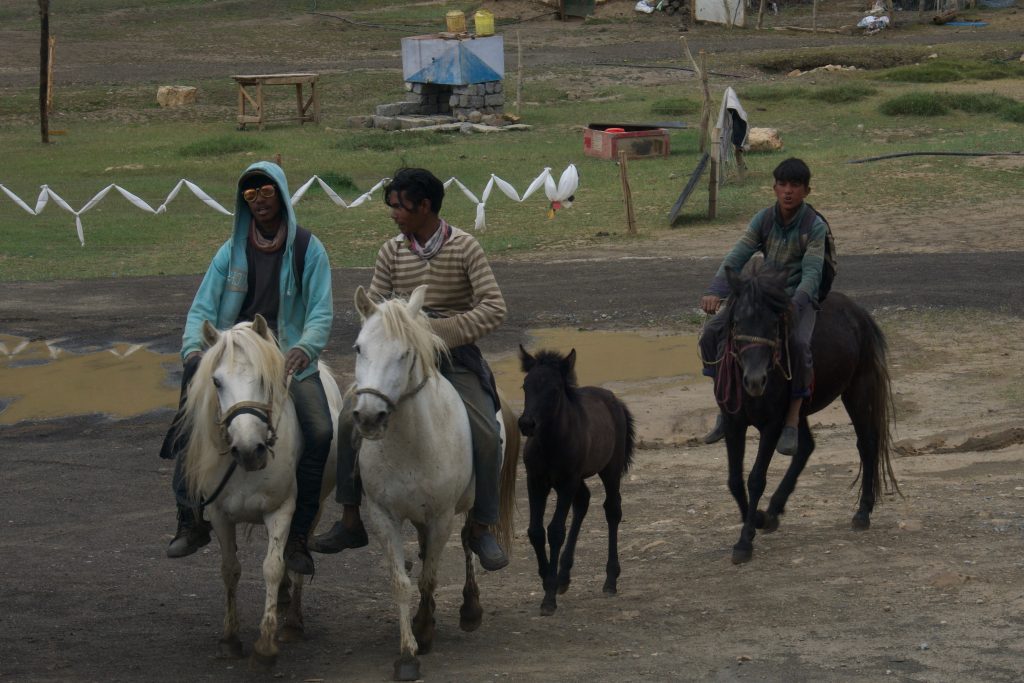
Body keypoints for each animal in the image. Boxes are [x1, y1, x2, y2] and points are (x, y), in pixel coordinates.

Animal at [181, 315, 342, 667]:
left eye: (264, 379)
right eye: (216, 382)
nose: (249, 449)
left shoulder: (280, 509)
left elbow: (273, 567)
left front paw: (266, 644)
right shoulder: (219, 514)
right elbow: (230, 570)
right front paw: (230, 638)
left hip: (315, 507)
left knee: (296, 555)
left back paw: (293, 620)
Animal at [351, 284, 520, 682]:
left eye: (405, 353)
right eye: (359, 348)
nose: (369, 417)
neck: (409, 443)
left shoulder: (441, 516)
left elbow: (429, 577)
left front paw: (425, 631)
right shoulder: (383, 515)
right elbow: (401, 581)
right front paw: (407, 652)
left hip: (465, 506)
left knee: (470, 539)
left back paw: (470, 609)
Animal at [517, 346, 636, 616]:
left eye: (554, 390)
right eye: (525, 386)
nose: (527, 424)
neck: (550, 443)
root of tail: (614, 399)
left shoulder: (566, 482)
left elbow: (555, 531)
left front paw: (549, 598)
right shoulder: (536, 481)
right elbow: (535, 530)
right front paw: (547, 579)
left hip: (609, 470)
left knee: (612, 510)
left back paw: (610, 580)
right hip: (577, 478)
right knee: (583, 501)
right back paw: (563, 577)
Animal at [712, 266, 900, 565]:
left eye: (773, 324)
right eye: (737, 321)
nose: (755, 380)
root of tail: (858, 312)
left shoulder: (771, 425)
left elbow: (756, 479)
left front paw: (745, 541)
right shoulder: (734, 424)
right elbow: (734, 480)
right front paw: (757, 520)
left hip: (858, 391)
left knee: (867, 444)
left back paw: (862, 513)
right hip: (800, 412)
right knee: (805, 448)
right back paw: (774, 510)